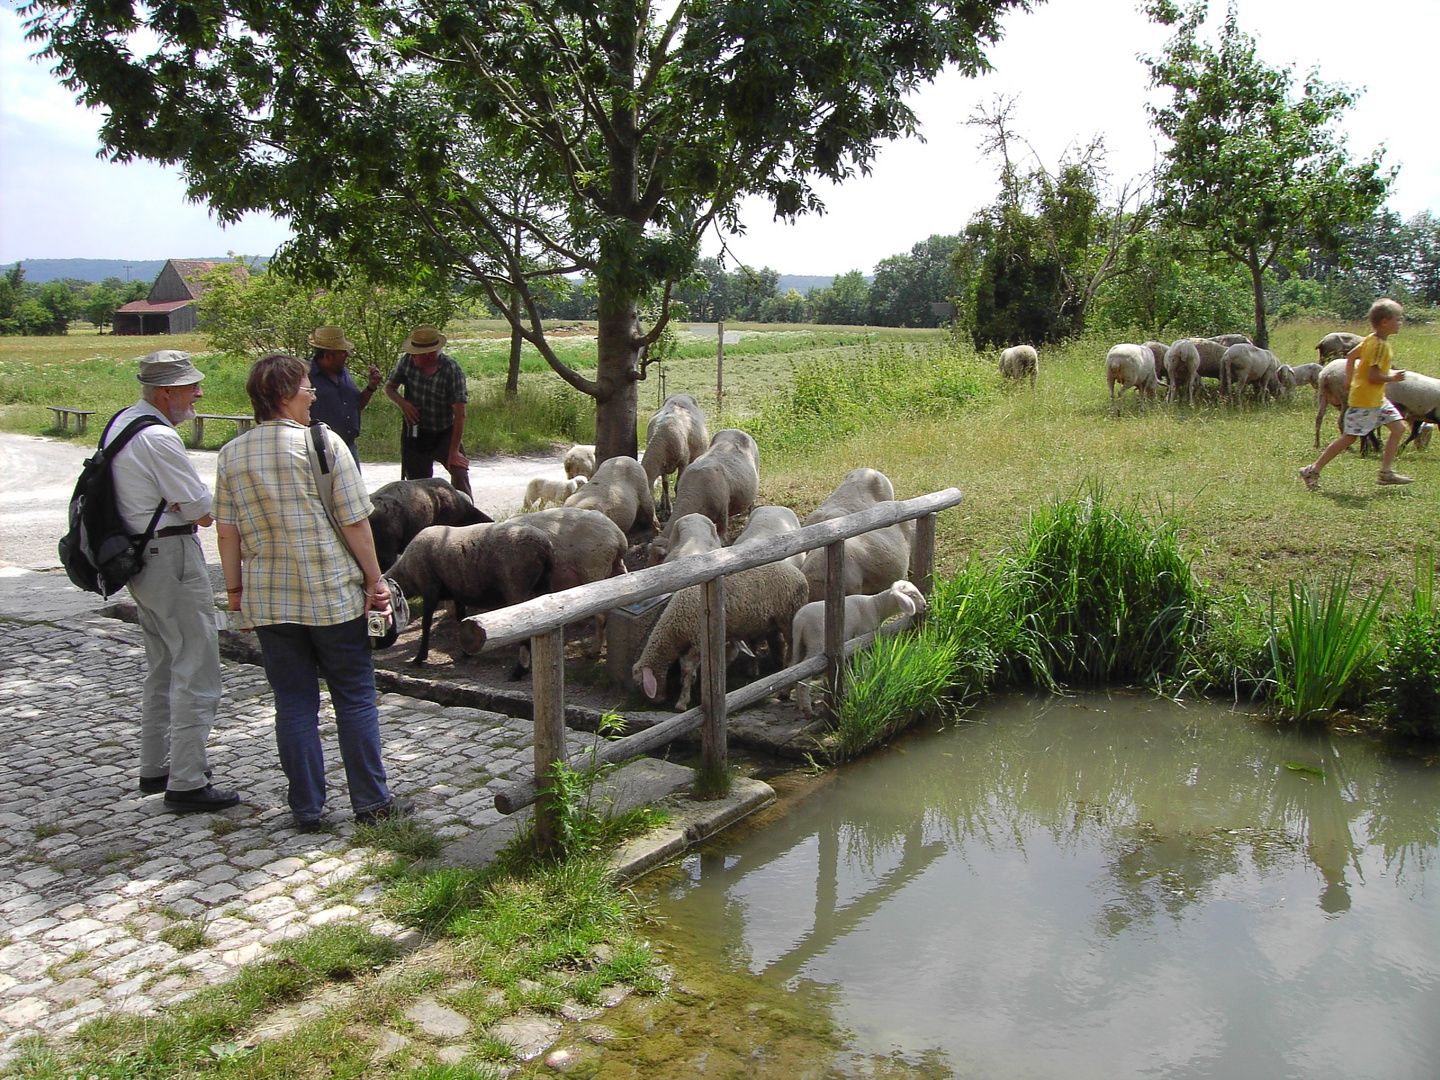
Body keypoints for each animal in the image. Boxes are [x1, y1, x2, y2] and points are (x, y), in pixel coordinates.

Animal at [383, 521, 550, 668]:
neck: (406, 572)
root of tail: (543, 544)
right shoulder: (458, 593)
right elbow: (460, 619)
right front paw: (466, 653)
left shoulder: (429, 589)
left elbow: (426, 624)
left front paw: (418, 659)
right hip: (545, 584)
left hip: (516, 587)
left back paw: (520, 670)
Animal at [633, 561, 812, 714]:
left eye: (640, 682)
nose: (657, 702)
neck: (675, 629)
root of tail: (799, 573)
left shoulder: (698, 642)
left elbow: (687, 670)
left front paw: (682, 702)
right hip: (772, 622)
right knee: (777, 644)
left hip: (788, 618)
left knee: (792, 652)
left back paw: (786, 683)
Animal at [794, 584, 927, 720]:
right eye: (911, 595)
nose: (925, 605)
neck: (876, 606)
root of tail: (800, 621)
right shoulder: (861, 636)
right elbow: (861, 661)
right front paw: (861, 679)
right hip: (816, 642)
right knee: (805, 676)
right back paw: (807, 710)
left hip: (799, 645)